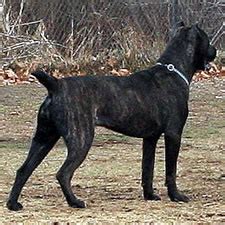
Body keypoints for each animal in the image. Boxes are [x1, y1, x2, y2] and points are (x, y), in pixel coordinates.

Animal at [7, 23, 216, 210]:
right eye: (207, 40)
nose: (215, 50)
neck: (172, 70)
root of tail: (55, 85)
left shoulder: (150, 139)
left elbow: (147, 169)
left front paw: (150, 195)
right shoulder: (173, 134)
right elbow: (170, 171)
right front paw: (176, 196)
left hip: (44, 138)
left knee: (23, 170)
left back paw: (13, 204)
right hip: (81, 139)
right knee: (63, 173)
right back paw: (75, 202)